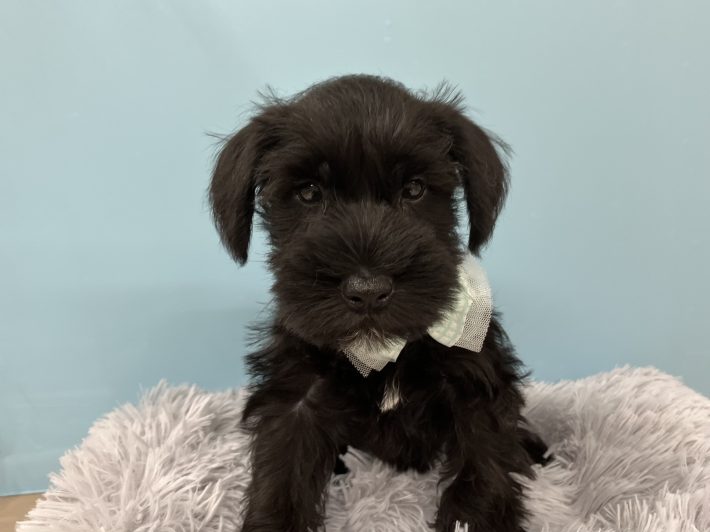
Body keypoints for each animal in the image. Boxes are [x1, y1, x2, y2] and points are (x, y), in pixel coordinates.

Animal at [209, 75, 548, 531]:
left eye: (415, 189)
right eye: (309, 193)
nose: (368, 290)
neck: (382, 352)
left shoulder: (476, 382)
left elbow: (483, 461)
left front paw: (473, 517)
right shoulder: (296, 397)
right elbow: (282, 473)